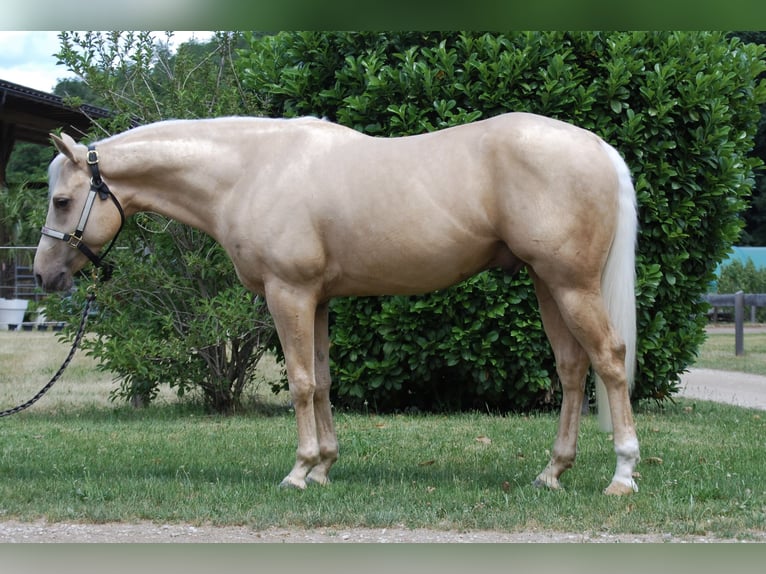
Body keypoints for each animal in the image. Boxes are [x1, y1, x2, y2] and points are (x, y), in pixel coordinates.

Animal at [33, 112, 640, 495]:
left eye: (62, 201)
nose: (43, 275)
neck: (251, 170)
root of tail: (600, 148)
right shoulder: (318, 300)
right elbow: (322, 381)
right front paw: (324, 467)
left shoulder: (289, 293)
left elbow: (301, 382)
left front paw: (299, 472)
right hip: (547, 283)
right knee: (571, 369)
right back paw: (552, 473)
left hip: (571, 284)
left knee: (609, 360)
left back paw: (622, 475)